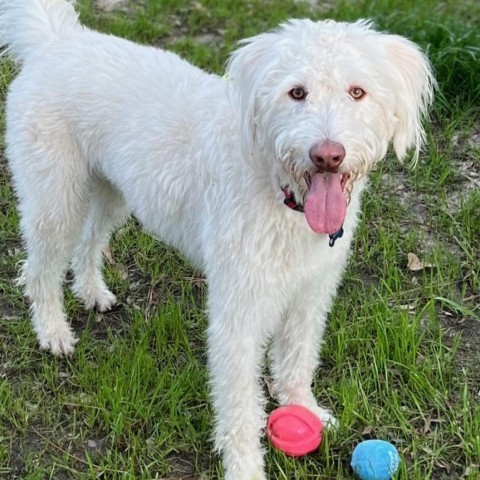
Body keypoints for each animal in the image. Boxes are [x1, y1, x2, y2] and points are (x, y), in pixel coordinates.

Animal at [0, 1, 436, 478]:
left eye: (357, 92)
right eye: (296, 92)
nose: (327, 155)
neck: (281, 192)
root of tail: (57, 39)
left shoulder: (311, 294)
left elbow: (298, 357)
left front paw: (304, 407)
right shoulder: (238, 312)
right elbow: (240, 400)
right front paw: (245, 465)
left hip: (111, 191)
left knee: (89, 242)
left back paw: (92, 291)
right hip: (55, 197)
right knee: (39, 270)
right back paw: (53, 332)